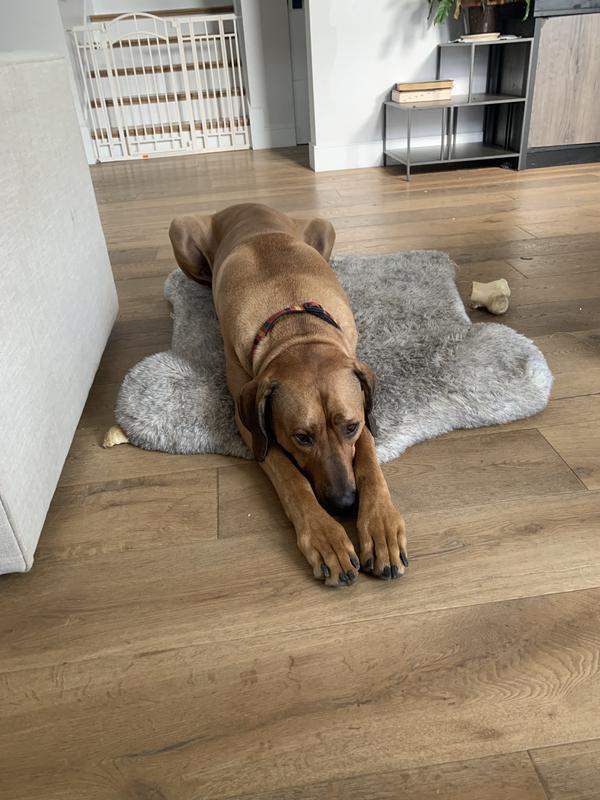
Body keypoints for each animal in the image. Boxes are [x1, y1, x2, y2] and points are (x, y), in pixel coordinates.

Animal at [169, 203, 407, 586]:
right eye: (301, 437)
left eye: (351, 427)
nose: (344, 504)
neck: (297, 328)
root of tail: (243, 204)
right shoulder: (250, 422)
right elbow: (290, 477)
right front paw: (327, 538)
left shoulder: (360, 408)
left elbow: (369, 460)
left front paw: (381, 528)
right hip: (180, 229)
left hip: (325, 226)